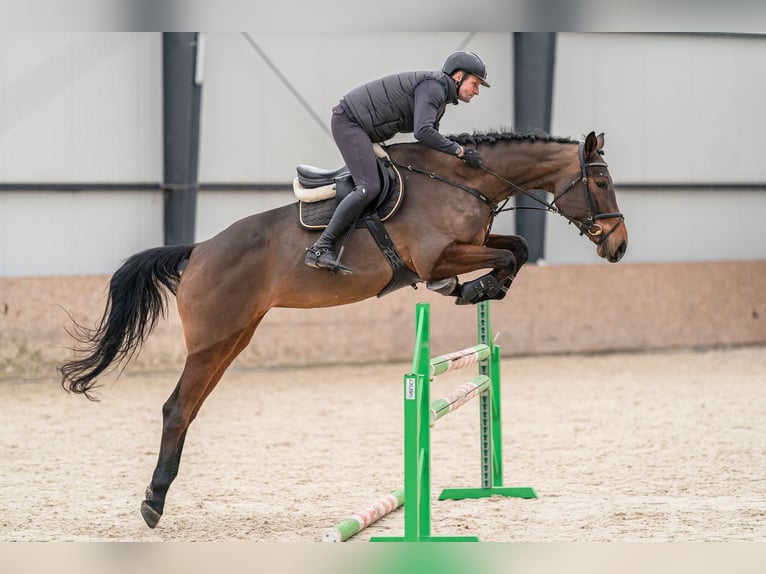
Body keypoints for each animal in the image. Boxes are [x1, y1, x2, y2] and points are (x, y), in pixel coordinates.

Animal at [58, 130, 632, 532]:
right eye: (601, 182)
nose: (619, 246)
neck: (463, 180)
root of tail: (197, 250)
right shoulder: (437, 255)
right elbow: (508, 254)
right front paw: (476, 287)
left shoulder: (473, 241)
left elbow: (516, 246)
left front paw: (480, 288)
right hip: (212, 341)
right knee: (176, 408)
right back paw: (153, 502)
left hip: (233, 339)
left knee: (189, 408)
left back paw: (159, 495)